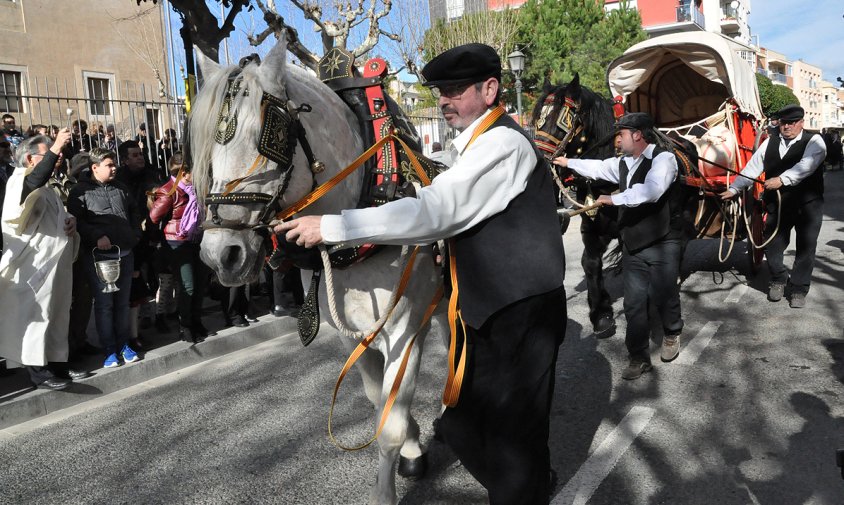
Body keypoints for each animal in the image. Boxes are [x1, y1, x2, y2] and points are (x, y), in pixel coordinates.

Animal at [190, 36, 442, 504]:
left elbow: (389, 428)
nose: (221, 255)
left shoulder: (402, 331)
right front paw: (414, 445)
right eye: (207, 152)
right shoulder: (354, 336)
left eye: (268, 138)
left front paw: (390, 481)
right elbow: (378, 401)